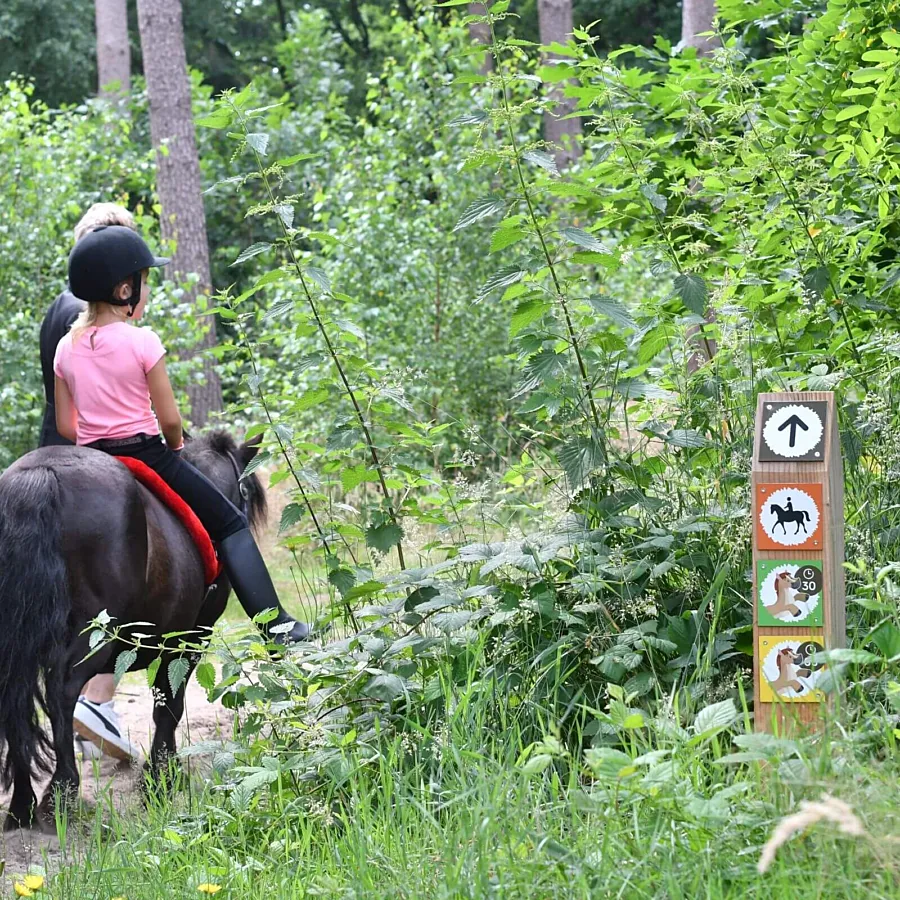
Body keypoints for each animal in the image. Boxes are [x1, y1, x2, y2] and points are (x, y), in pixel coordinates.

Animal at [0, 432, 266, 832]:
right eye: (246, 489)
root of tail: (40, 475)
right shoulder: (189, 639)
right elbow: (168, 705)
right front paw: (161, 778)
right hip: (95, 630)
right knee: (63, 691)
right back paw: (61, 793)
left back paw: (21, 805)